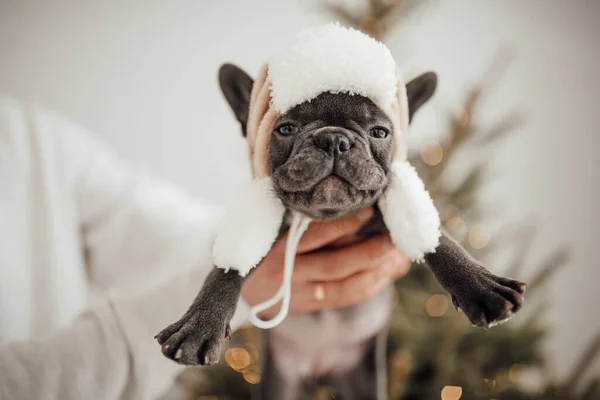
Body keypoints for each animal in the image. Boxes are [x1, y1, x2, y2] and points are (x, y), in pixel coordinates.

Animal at [156, 64, 524, 398]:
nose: (334, 139)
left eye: (380, 132)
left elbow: (439, 239)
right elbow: (227, 267)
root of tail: (320, 371)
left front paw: (481, 286)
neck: (323, 217)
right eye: (285, 128)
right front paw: (200, 324)